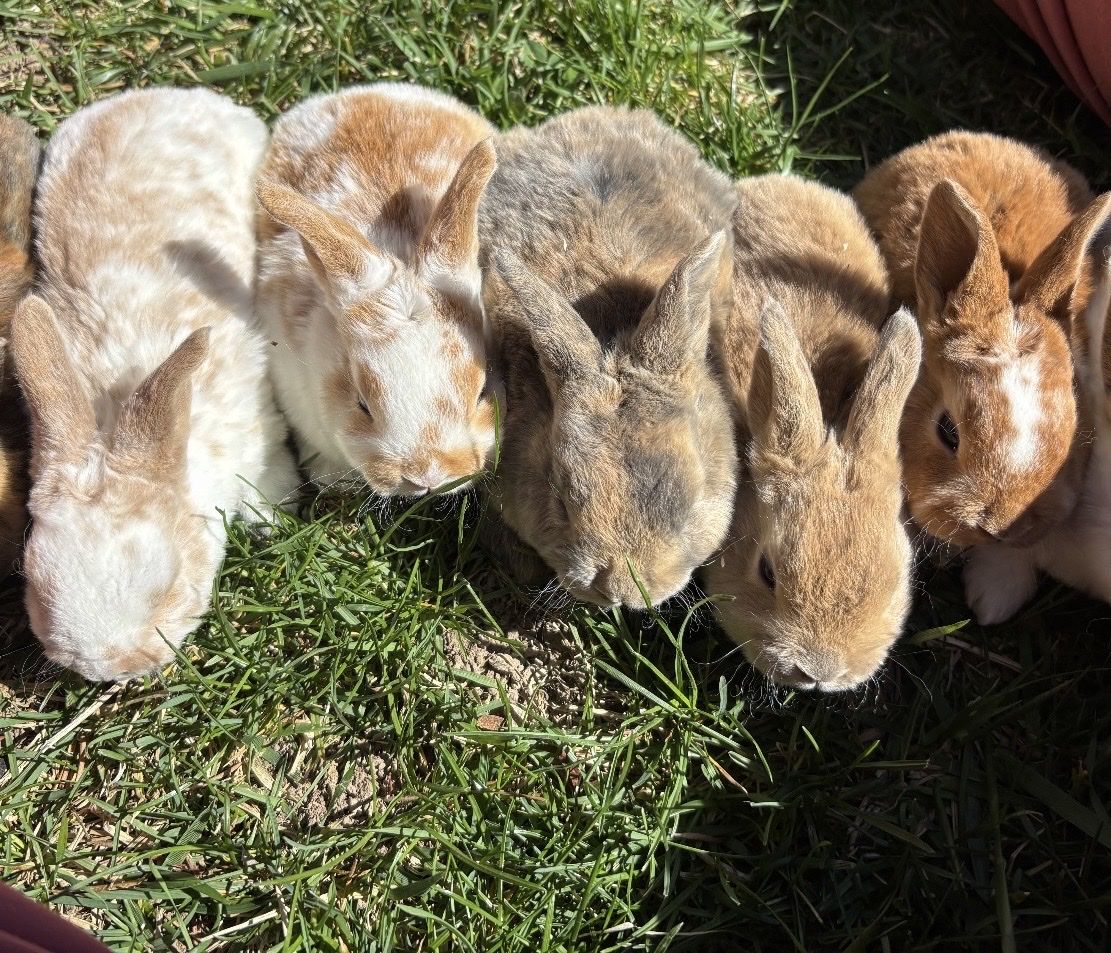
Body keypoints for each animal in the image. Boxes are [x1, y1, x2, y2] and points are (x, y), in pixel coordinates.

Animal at [10, 87, 299, 682]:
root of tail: (158, 96)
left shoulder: (261, 430)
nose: (109, 669)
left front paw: (274, 519)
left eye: (169, 585)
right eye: (33, 579)